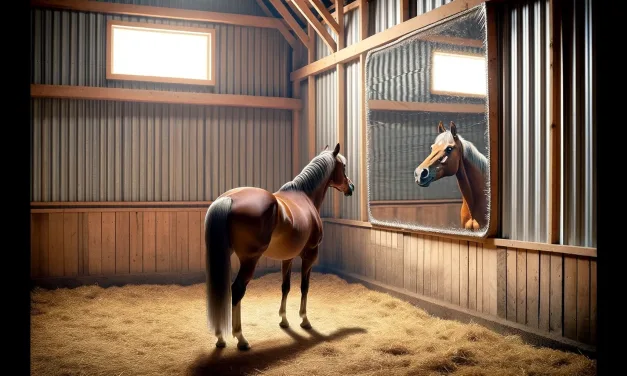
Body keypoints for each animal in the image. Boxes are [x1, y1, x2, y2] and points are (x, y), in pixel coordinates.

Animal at [205, 142, 356, 352]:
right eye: (343, 167)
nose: (351, 187)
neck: (305, 196)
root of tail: (228, 199)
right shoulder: (310, 255)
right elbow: (304, 286)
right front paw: (304, 320)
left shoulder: (288, 257)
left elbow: (285, 286)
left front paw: (284, 320)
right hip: (249, 260)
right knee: (237, 290)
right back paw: (241, 339)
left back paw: (220, 338)